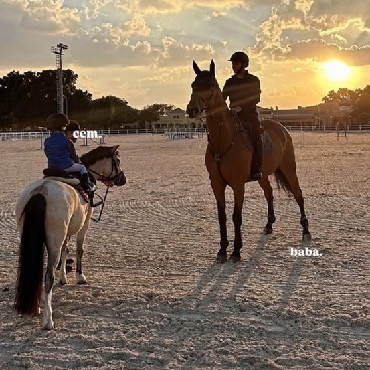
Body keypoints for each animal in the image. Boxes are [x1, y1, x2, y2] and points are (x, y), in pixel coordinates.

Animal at [14, 145, 126, 330]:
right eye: (117, 160)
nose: (123, 179)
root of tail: (41, 191)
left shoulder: (65, 234)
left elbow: (66, 250)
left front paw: (64, 277)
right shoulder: (85, 223)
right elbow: (80, 249)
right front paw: (80, 276)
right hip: (54, 242)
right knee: (48, 277)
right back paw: (48, 320)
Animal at [186, 60, 310, 262]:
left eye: (210, 84)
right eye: (193, 85)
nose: (192, 110)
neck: (223, 140)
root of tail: (282, 128)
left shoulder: (238, 185)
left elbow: (236, 216)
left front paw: (236, 250)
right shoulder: (217, 185)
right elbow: (222, 216)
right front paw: (222, 249)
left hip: (289, 168)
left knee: (298, 194)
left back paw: (306, 230)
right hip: (263, 175)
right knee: (269, 193)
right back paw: (269, 225)